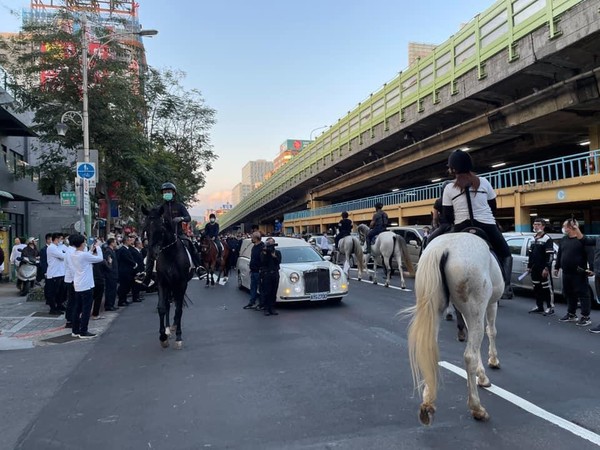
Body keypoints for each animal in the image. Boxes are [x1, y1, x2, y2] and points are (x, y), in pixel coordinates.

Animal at [404, 232, 506, 426]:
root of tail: (441, 249)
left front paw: (482, 375)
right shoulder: (490, 305)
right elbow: (491, 332)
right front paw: (493, 362)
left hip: (434, 309)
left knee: (428, 349)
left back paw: (428, 402)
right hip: (475, 307)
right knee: (469, 356)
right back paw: (477, 408)